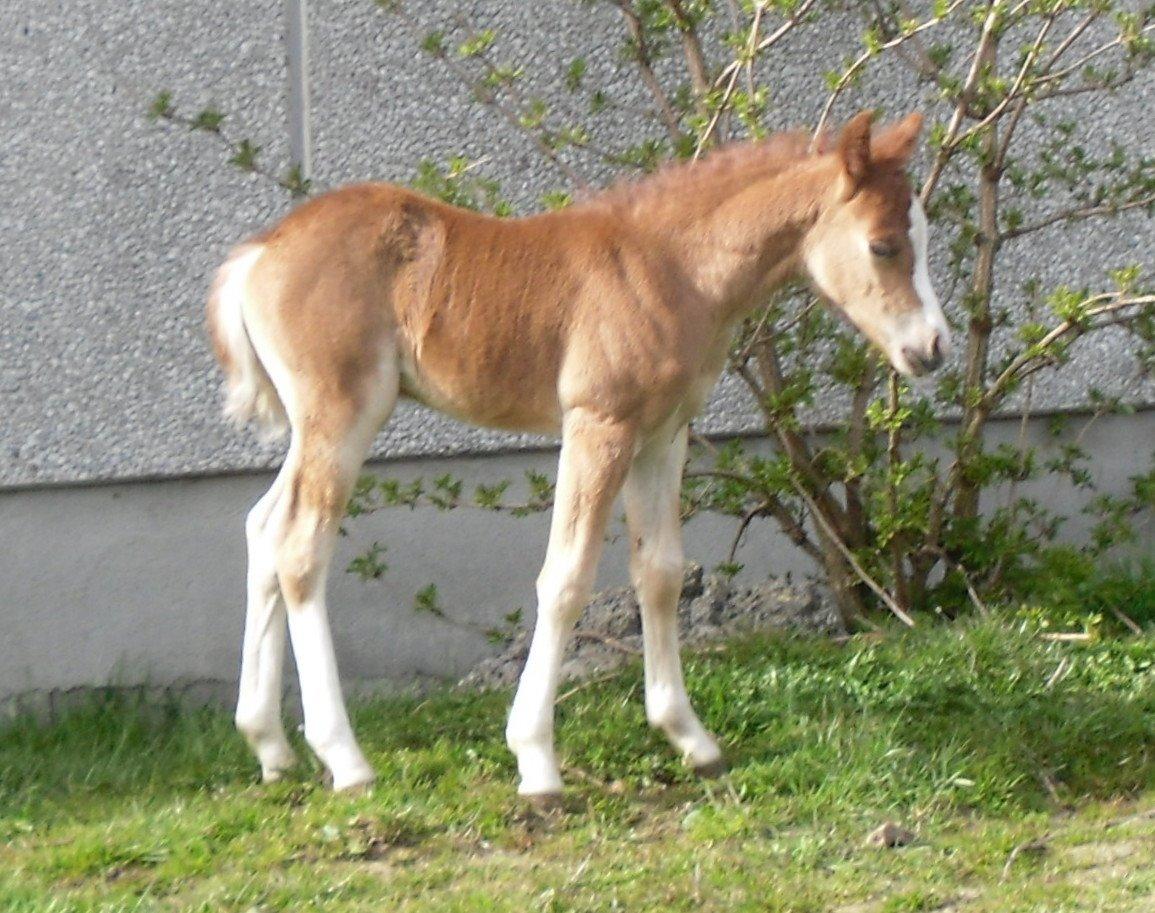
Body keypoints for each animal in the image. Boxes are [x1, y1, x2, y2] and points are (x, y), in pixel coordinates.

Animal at [208, 110, 949, 800]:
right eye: (882, 245)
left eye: (923, 235)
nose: (934, 348)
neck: (673, 267)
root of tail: (261, 252)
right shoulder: (599, 424)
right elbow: (565, 578)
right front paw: (535, 759)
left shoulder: (663, 432)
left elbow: (660, 572)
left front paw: (690, 737)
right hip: (344, 414)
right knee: (301, 546)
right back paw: (345, 759)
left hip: (314, 426)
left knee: (263, 529)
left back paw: (269, 746)